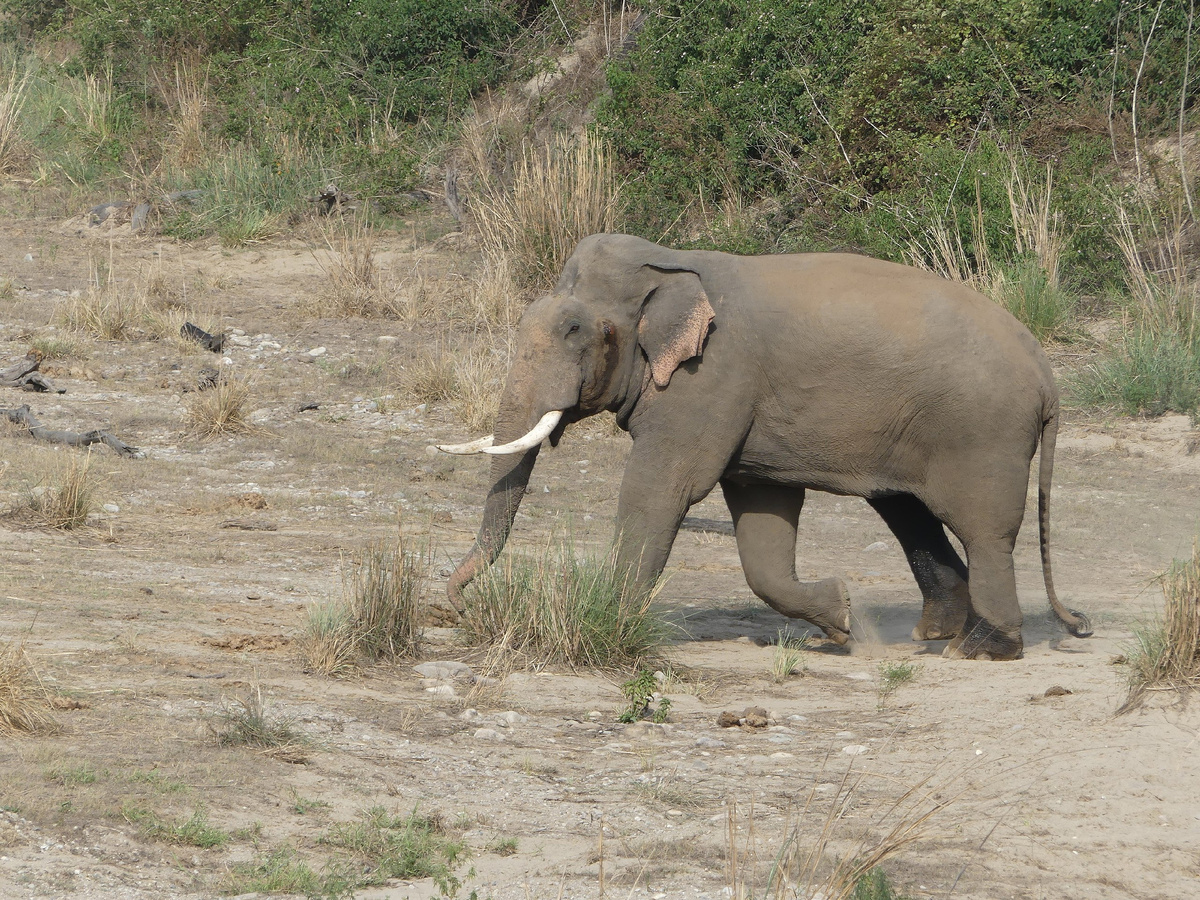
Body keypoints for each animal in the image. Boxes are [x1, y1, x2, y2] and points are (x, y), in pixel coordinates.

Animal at [436, 232, 1094, 662]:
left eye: (576, 330)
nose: (456, 605)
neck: (672, 263)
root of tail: (1046, 372)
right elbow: (762, 519)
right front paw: (840, 617)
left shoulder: (710, 380)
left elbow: (662, 489)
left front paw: (608, 621)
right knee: (908, 512)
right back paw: (936, 636)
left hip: (983, 432)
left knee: (986, 530)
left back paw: (984, 649)